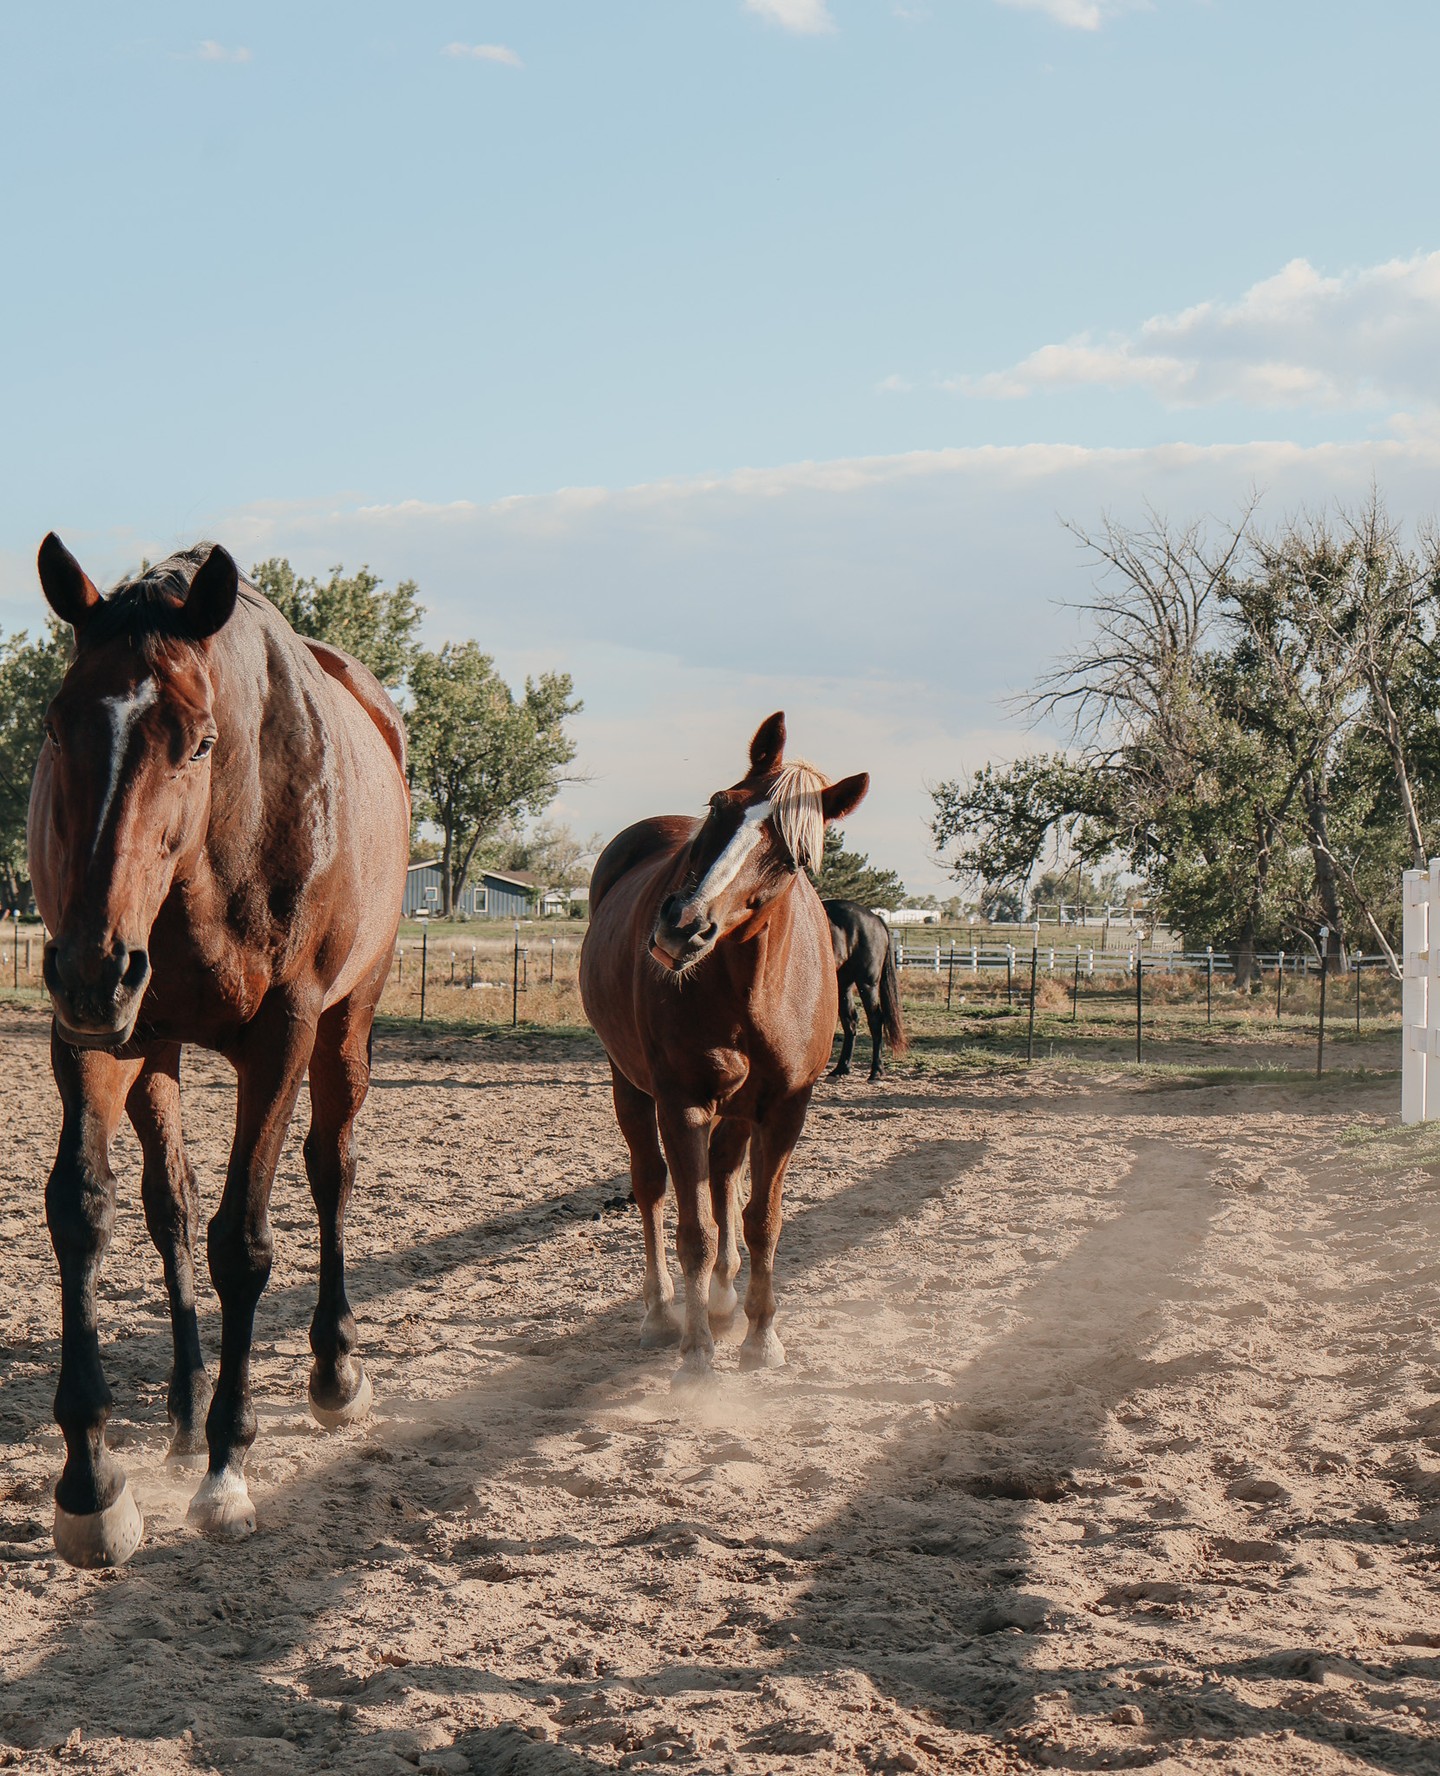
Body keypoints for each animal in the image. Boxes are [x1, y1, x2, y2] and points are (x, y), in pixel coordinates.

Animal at [28, 534, 410, 1568]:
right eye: (55, 726)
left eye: (197, 742)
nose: (91, 967)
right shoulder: (100, 1037)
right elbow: (85, 1213)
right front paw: (94, 1481)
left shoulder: (282, 1036)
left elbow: (243, 1240)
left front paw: (228, 1466)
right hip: (150, 1044)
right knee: (171, 1207)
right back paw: (182, 1411)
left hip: (348, 1022)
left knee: (329, 1169)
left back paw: (332, 1370)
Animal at [578, 712, 867, 1377]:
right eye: (720, 805)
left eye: (794, 856)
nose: (683, 926)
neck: (749, 987)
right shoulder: (681, 1103)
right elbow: (695, 1231)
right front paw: (696, 1358)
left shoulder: (785, 1109)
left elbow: (761, 1219)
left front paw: (761, 1336)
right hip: (630, 1085)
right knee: (652, 1185)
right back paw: (663, 1313)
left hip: (737, 1110)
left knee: (724, 1177)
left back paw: (723, 1300)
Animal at [823, 898, 907, 1082]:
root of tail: (875, 918)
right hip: (843, 984)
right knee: (850, 1021)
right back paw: (841, 1068)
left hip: (867, 983)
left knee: (875, 1020)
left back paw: (876, 1071)